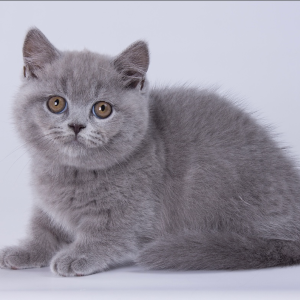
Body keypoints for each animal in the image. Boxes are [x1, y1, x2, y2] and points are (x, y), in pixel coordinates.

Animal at [0, 28, 300, 276]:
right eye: (56, 103)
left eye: (102, 109)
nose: (76, 125)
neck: (73, 173)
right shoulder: (47, 206)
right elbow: (43, 229)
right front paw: (24, 250)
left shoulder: (135, 211)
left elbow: (109, 233)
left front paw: (78, 256)